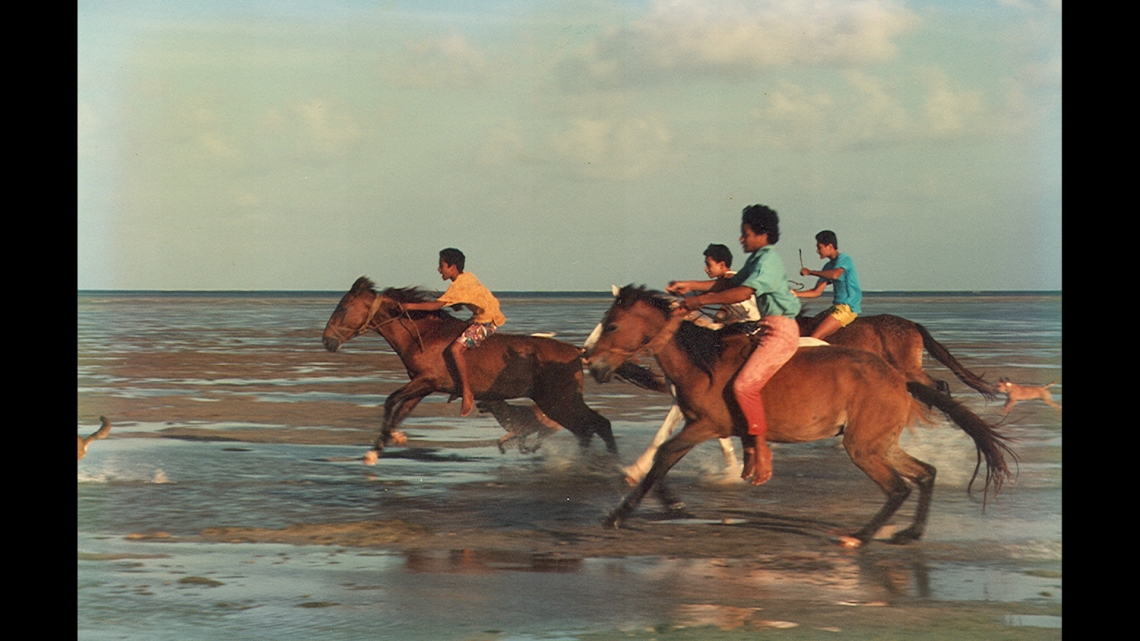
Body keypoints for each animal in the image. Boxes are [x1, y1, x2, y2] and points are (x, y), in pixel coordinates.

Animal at [323, 274, 615, 458]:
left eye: (344, 307)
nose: (327, 340)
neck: (424, 335)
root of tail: (575, 351)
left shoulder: (425, 381)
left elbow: (390, 401)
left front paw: (387, 441)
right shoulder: (423, 386)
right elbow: (399, 410)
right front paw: (379, 447)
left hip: (558, 401)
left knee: (591, 427)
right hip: (562, 401)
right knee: (596, 426)